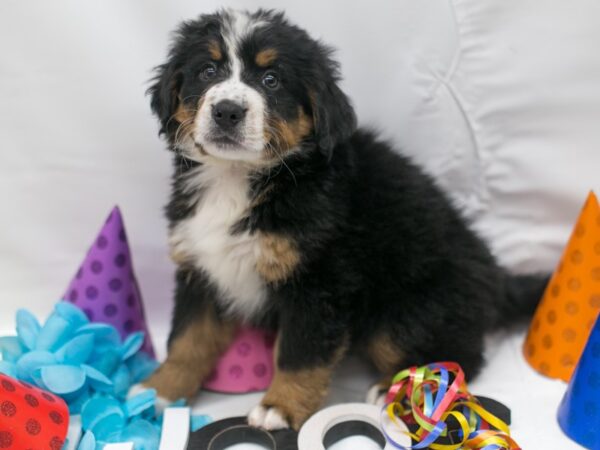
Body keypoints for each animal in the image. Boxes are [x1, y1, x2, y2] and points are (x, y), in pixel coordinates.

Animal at [142, 8, 548, 430]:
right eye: (207, 71)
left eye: (272, 80)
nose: (227, 111)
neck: (237, 178)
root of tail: (496, 278)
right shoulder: (201, 268)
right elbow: (187, 340)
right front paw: (158, 392)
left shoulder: (320, 281)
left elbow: (300, 354)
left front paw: (279, 407)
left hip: (405, 314)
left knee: (462, 356)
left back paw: (399, 385)